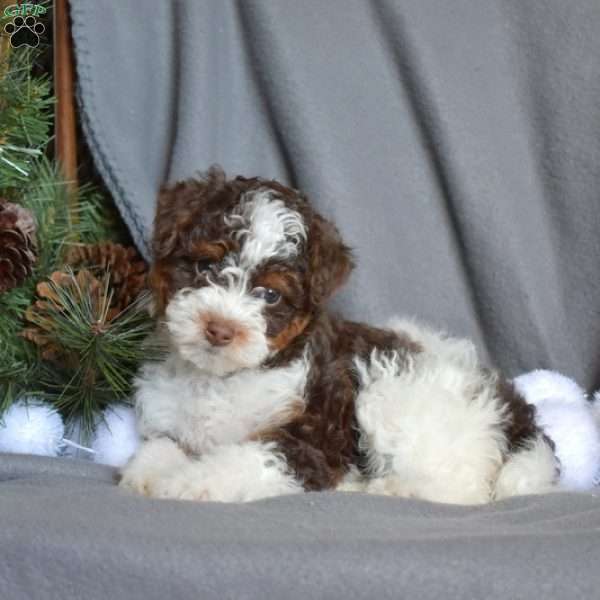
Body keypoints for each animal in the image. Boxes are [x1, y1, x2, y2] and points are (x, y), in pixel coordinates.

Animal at [119, 166, 560, 504]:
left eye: (270, 294)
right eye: (205, 266)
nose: (220, 329)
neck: (218, 379)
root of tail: (515, 409)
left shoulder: (313, 436)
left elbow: (244, 460)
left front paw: (185, 483)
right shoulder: (169, 417)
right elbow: (161, 444)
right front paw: (146, 474)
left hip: (391, 392)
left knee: (461, 489)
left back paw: (389, 489)